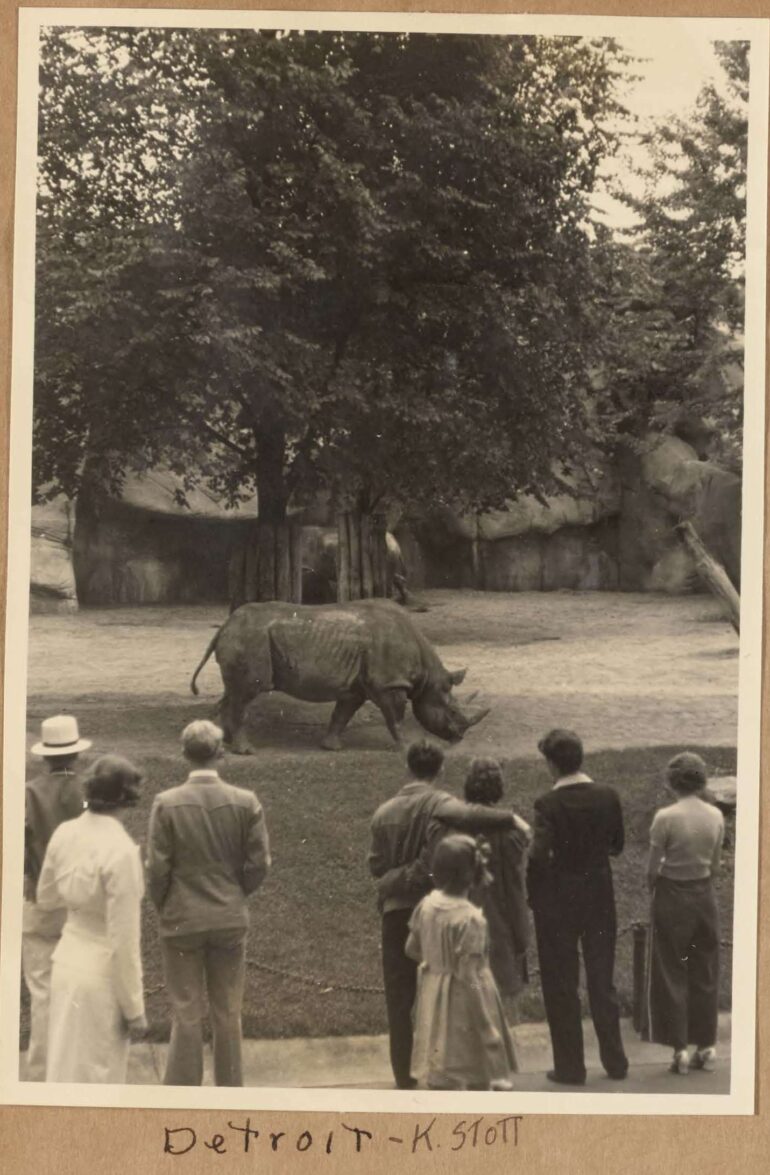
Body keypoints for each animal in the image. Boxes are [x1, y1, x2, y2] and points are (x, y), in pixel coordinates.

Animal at [190, 598, 489, 752]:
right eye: (452, 712)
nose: (459, 738)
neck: (429, 676)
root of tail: (225, 625)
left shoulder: (357, 687)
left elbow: (342, 714)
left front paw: (331, 747)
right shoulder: (388, 684)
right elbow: (396, 717)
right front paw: (409, 747)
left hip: (246, 637)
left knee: (234, 691)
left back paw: (224, 744)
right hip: (251, 639)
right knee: (247, 691)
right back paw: (245, 750)